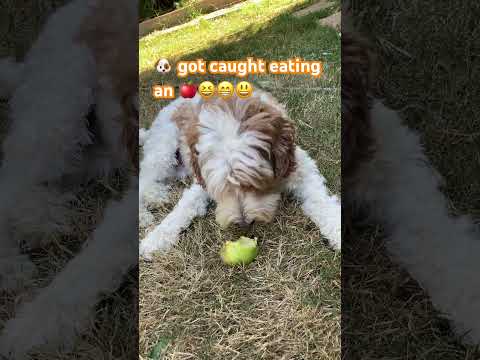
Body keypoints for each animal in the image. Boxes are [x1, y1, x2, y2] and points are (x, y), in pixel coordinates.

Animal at [0, 1, 139, 358]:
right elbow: (92, 263)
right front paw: (28, 330)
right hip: (62, 105)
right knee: (10, 182)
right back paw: (16, 259)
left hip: (93, 153)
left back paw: (42, 223)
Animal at [138, 90, 342, 258]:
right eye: (223, 188)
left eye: (254, 183)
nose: (244, 224)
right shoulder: (203, 179)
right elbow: (184, 207)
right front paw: (154, 239)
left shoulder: (299, 168)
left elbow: (320, 201)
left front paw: (338, 229)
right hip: (162, 150)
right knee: (144, 179)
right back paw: (149, 208)